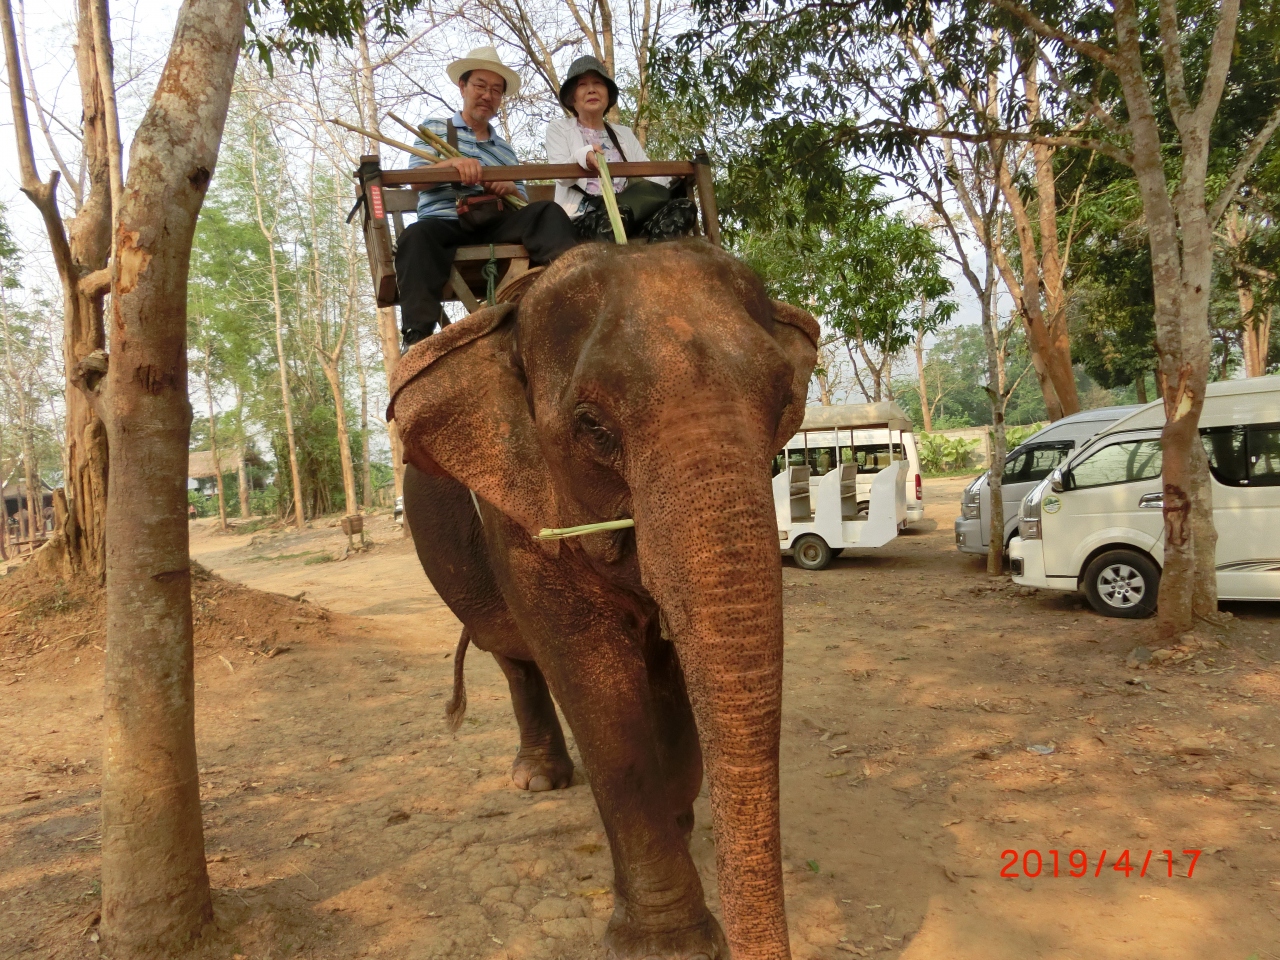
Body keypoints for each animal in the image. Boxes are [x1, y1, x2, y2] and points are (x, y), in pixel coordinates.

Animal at [384, 239, 819, 960]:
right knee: (517, 660)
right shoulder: (519, 512)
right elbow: (598, 688)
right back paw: (537, 781)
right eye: (591, 426)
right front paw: (670, 945)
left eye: (784, 404)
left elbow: (670, 681)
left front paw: (681, 818)